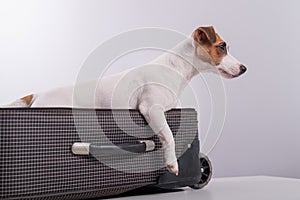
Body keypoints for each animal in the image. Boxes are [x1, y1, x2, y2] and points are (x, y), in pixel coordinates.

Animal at [2, 26, 246, 175]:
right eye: (221, 46)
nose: (244, 68)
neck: (174, 68)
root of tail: (36, 94)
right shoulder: (151, 109)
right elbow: (168, 135)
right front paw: (172, 163)